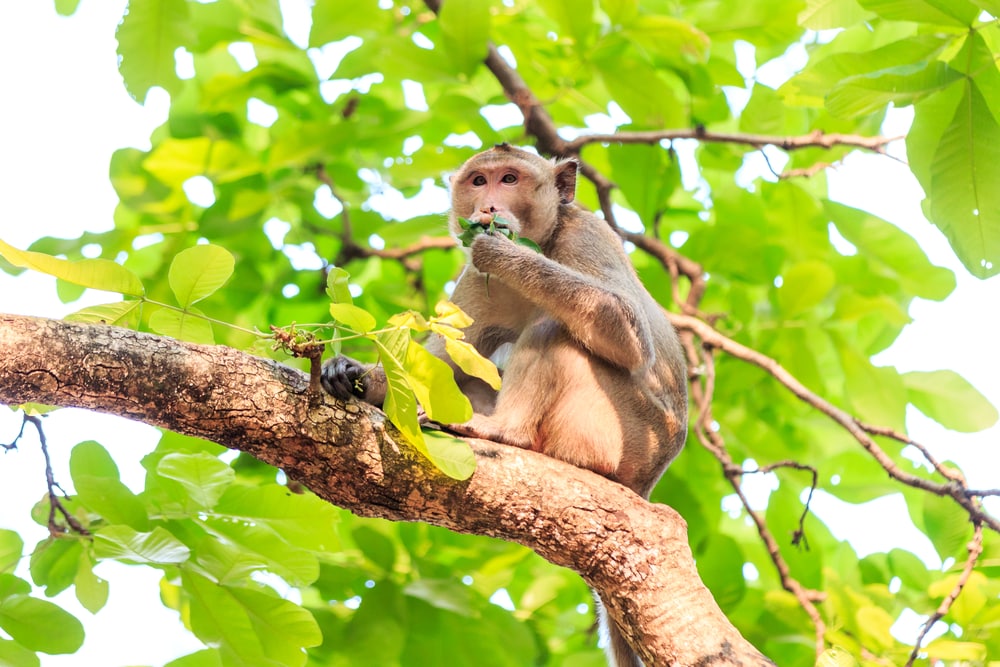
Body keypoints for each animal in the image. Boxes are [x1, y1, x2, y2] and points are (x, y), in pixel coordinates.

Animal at [322, 144, 688, 664]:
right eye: (480, 181)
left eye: (510, 179)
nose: (489, 206)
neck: (546, 239)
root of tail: (646, 480)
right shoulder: (475, 280)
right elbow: (441, 364)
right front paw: (351, 373)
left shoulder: (585, 235)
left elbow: (624, 324)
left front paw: (503, 248)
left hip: (618, 433)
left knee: (555, 329)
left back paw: (503, 430)